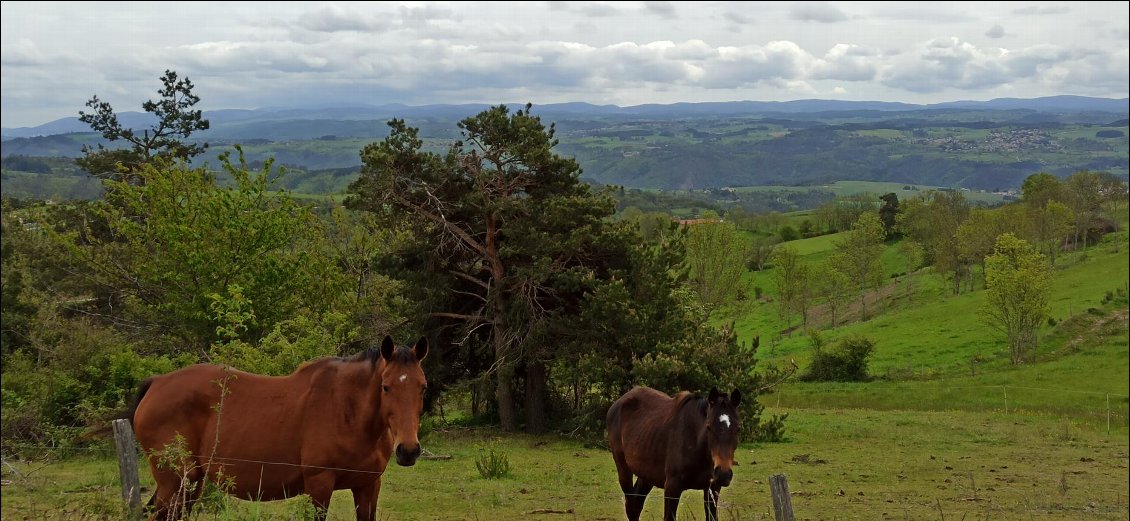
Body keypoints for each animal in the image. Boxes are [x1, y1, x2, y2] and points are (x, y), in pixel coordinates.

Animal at [129, 334, 427, 517]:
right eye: (386, 387)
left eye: (423, 387)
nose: (408, 450)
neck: (347, 410)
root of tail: (157, 383)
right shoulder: (319, 485)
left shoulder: (368, 486)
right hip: (176, 482)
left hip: (190, 484)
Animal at [610, 384, 741, 519]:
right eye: (708, 427)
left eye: (738, 429)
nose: (723, 474)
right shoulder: (672, 488)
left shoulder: (713, 489)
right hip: (623, 469)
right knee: (631, 505)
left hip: (647, 473)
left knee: (636, 504)